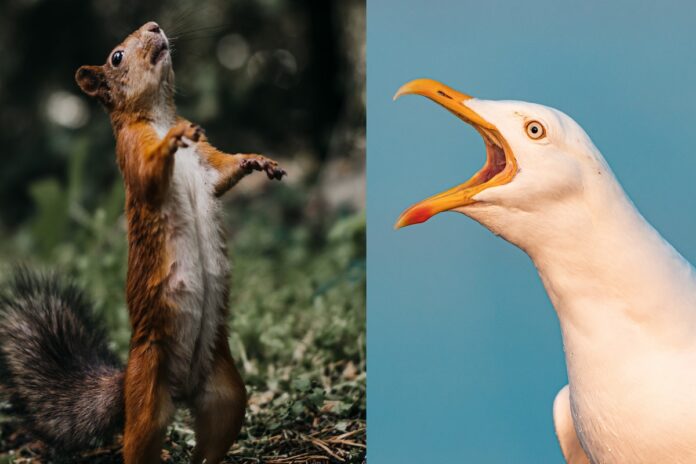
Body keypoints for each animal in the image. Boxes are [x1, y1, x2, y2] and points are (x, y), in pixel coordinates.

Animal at [0, 21, 285, 464]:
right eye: (116, 57)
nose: (154, 26)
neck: (159, 115)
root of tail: (181, 391)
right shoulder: (132, 152)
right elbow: (151, 174)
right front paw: (172, 141)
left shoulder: (206, 161)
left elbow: (224, 172)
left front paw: (256, 160)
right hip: (148, 396)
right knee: (138, 443)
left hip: (227, 395)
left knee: (211, 442)